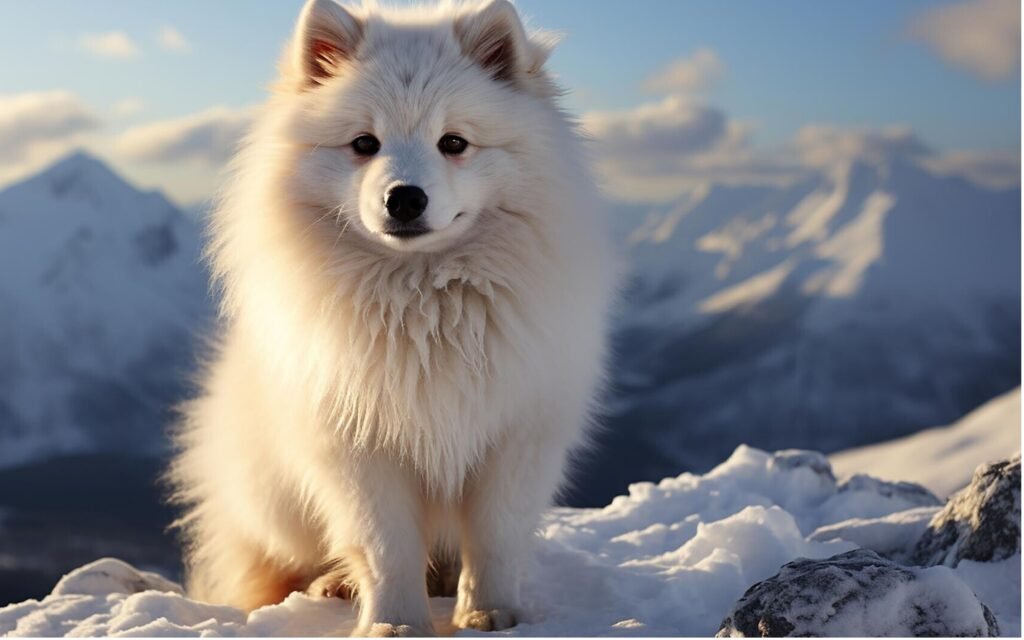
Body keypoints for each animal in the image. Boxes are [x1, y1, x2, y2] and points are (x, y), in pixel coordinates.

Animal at [171, 0, 610, 630]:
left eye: (453, 142)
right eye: (364, 143)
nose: (404, 197)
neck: (425, 305)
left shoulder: (517, 436)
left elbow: (496, 538)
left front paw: (492, 612)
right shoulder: (359, 448)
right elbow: (385, 546)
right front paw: (395, 622)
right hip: (274, 504)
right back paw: (334, 584)